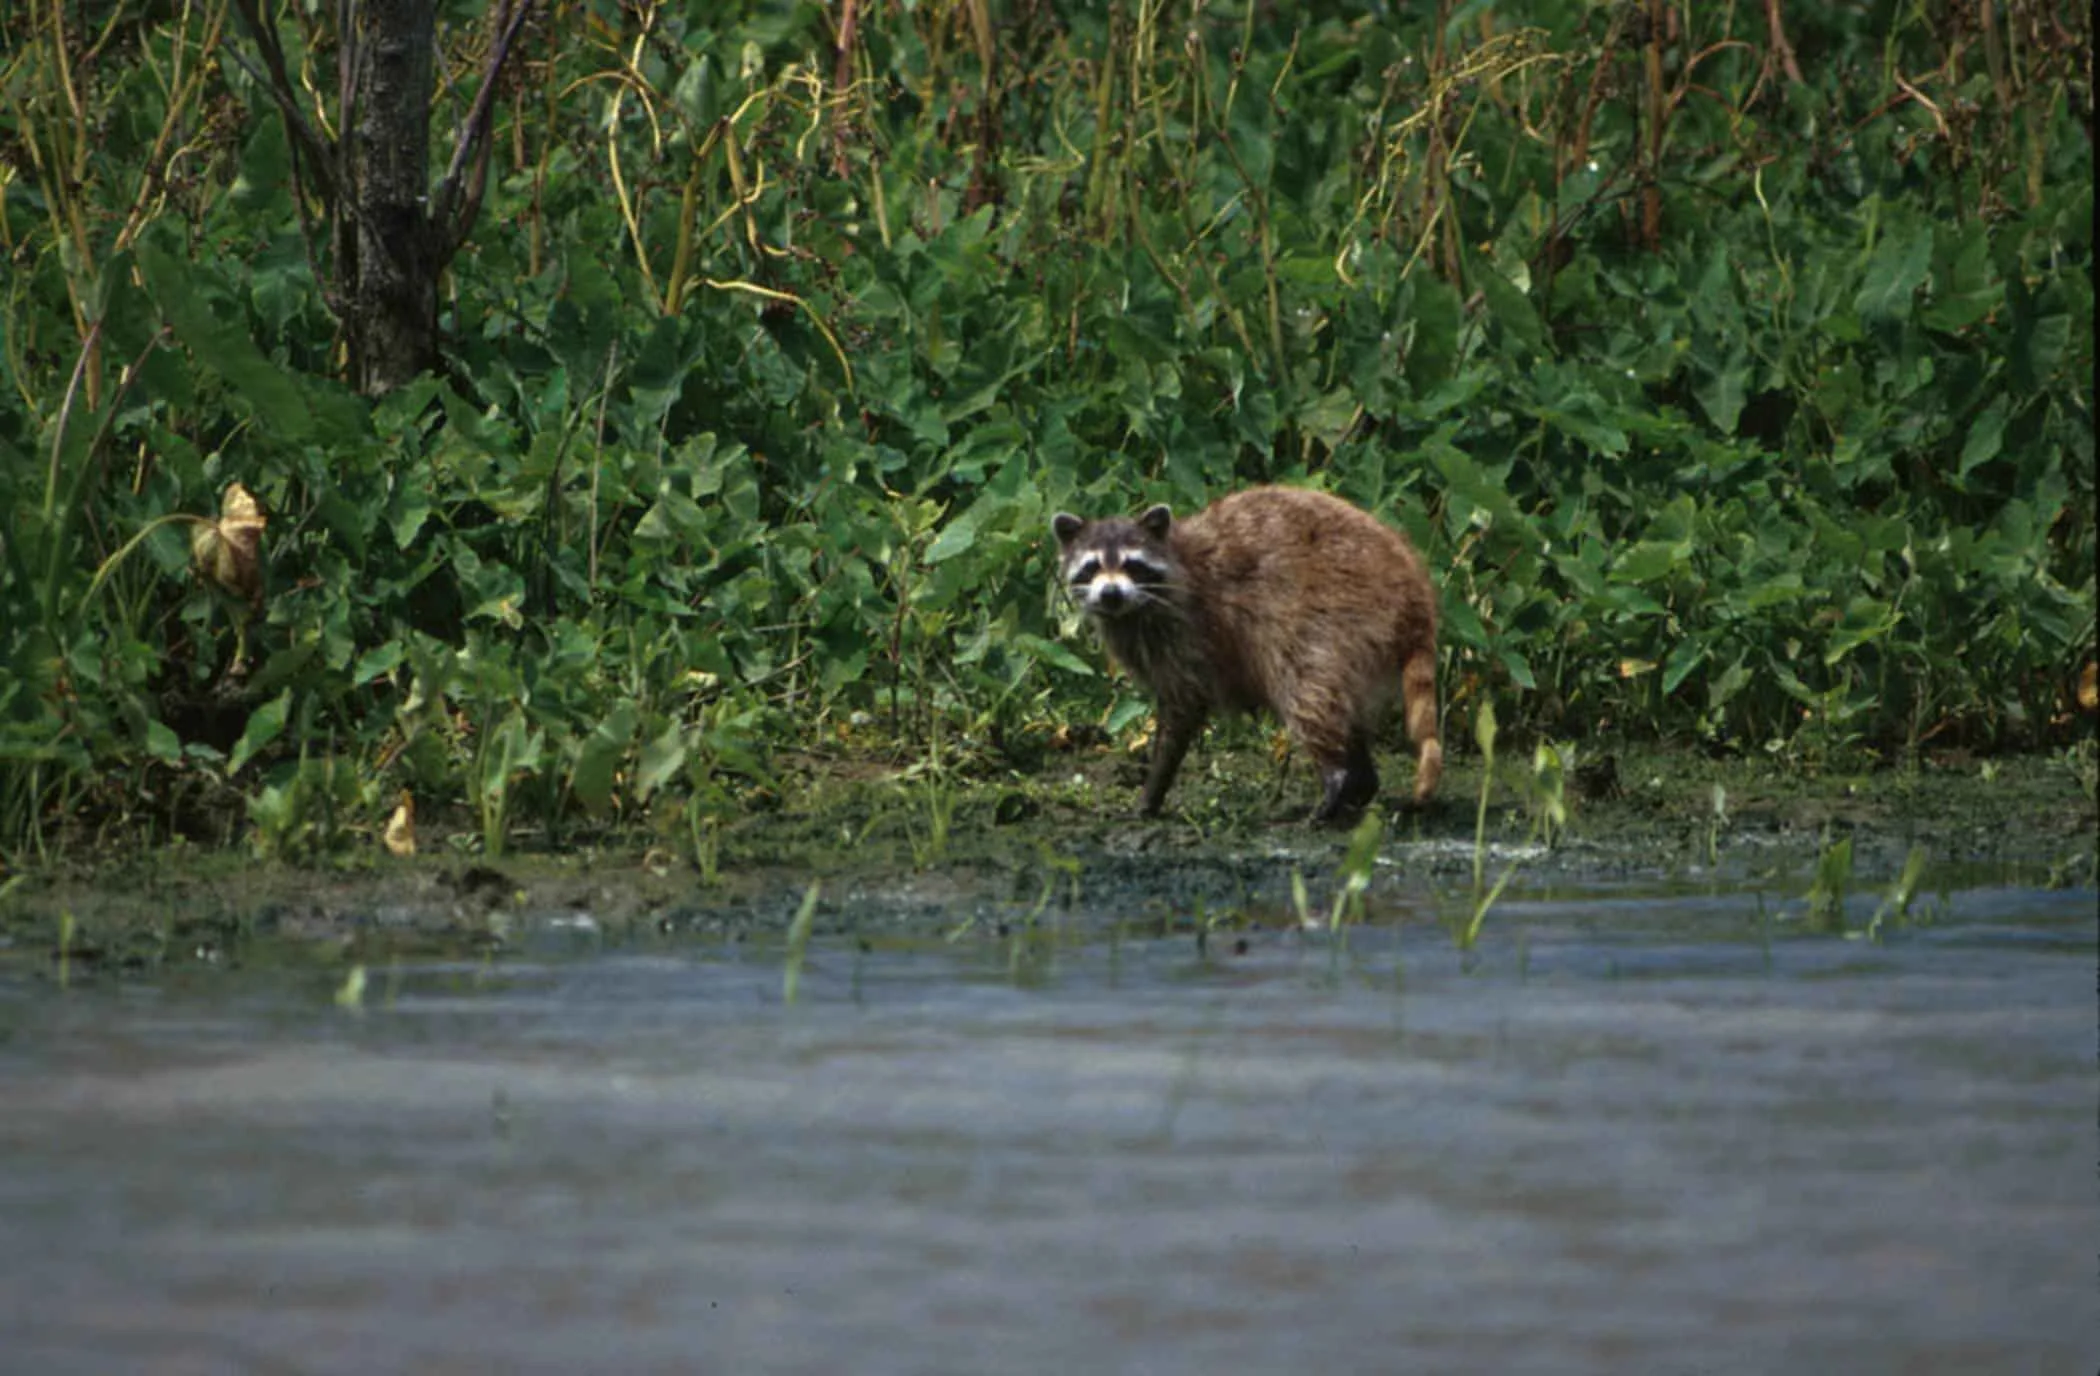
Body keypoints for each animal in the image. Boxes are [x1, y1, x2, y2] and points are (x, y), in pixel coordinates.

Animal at [1052, 485, 1442, 822]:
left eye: (1132, 564)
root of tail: (1412, 588)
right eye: (1092, 567)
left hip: (1332, 614)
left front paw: (1151, 792)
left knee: (1306, 690)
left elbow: (1183, 709)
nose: (1111, 594)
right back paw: (1360, 782)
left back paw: (1336, 777)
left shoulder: (1188, 630)